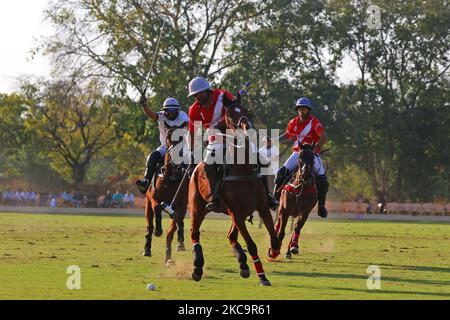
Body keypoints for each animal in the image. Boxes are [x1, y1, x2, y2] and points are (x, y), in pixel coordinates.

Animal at [142, 126, 188, 264]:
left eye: (182, 137)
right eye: (168, 136)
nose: (177, 154)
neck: (170, 175)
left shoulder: (181, 206)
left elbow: (171, 230)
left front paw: (168, 257)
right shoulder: (153, 198)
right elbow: (157, 207)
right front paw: (158, 230)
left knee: (179, 223)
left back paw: (180, 244)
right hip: (147, 204)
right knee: (149, 226)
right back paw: (147, 249)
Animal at [187, 96, 280, 286]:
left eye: (246, 110)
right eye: (229, 114)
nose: (247, 128)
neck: (243, 170)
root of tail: (196, 167)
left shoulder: (262, 208)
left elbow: (274, 240)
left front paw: (271, 253)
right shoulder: (236, 212)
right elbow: (251, 245)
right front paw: (262, 277)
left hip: (240, 214)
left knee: (231, 236)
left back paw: (243, 264)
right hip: (198, 208)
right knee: (194, 232)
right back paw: (197, 268)